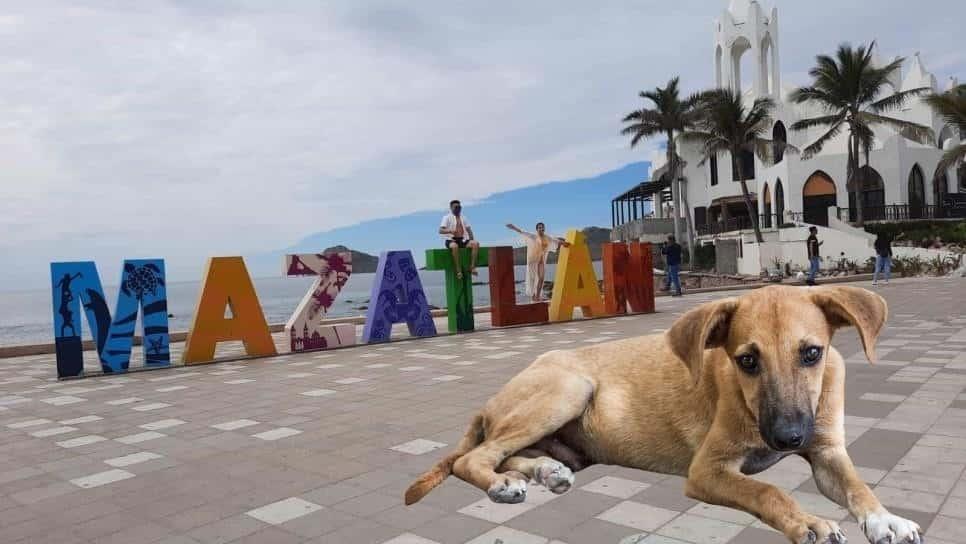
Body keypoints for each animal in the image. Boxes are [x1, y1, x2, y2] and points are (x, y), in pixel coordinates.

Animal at [404, 284, 928, 544]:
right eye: (747, 361)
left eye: (812, 353)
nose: (787, 438)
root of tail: (490, 400)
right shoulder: (707, 470)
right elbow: (768, 490)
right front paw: (810, 523)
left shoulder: (826, 452)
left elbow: (858, 486)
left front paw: (886, 519)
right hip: (568, 388)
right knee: (473, 458)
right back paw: (501, 485)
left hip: (567, 435)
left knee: (513, 453)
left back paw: (544, 472)